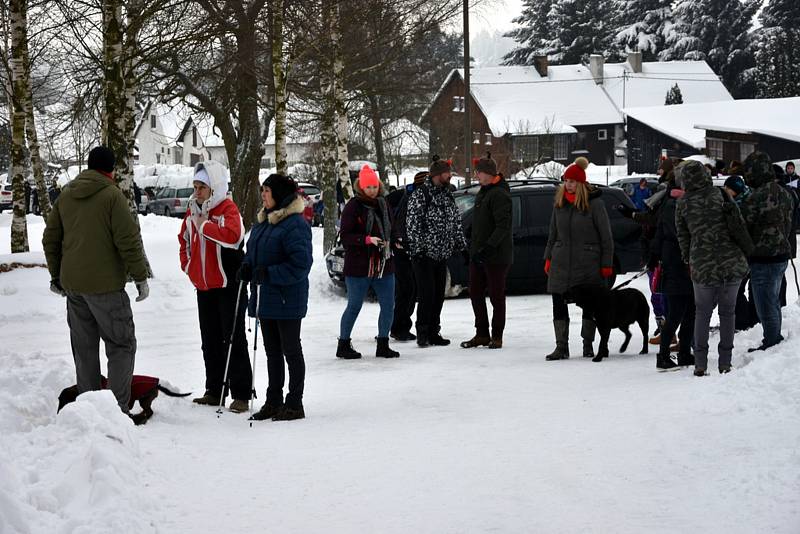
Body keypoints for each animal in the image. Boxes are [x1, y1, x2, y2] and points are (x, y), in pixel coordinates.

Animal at [57, 376, 191, 428]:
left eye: (62, 400)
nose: (58, 413)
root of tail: (157, 384)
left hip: (144, 400)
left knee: (149, 412)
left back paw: (140, 418)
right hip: (144, 400)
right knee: (149, 411)